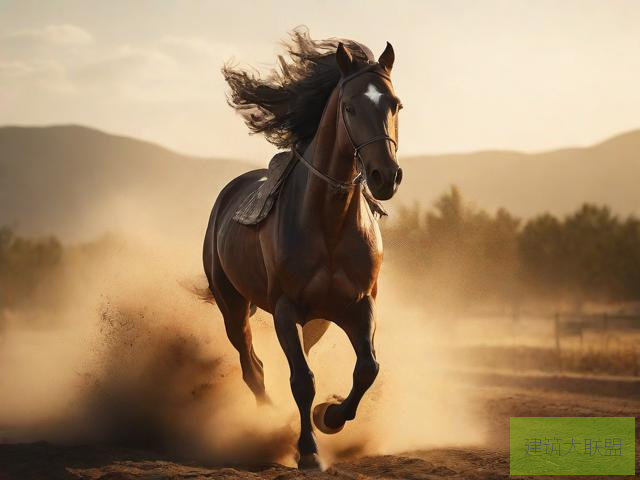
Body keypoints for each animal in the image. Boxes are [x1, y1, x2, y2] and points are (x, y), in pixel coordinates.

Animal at [202, 31, 402, 468]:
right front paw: (308, 450)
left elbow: (368, 368)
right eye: (350, 107)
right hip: (232, 307)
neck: (329, 224)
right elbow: (302, 379)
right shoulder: (285, 310)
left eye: (395, 104)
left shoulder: (358, 305)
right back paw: (265, 421)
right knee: (252, 367)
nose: (385, 177)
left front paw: (329, 416)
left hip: (319, 321)